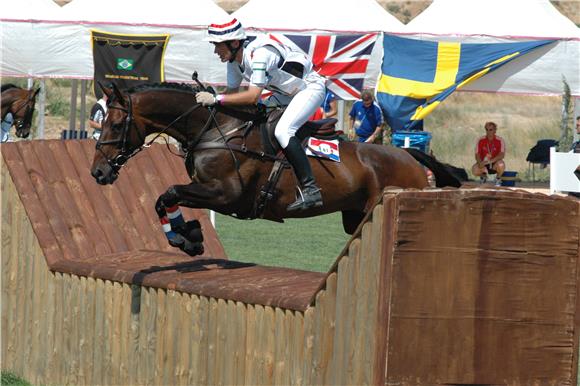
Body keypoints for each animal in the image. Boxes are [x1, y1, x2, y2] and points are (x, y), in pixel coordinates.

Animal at [92, 82, 462, 256]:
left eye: (116, 124)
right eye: (100, 122)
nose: (97, 173)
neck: (215, 130)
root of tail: (411, 156)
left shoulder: (226, 195)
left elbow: (168, 193)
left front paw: (186, 238)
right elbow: (164, 199)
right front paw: (189, 236)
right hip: (356, 216)